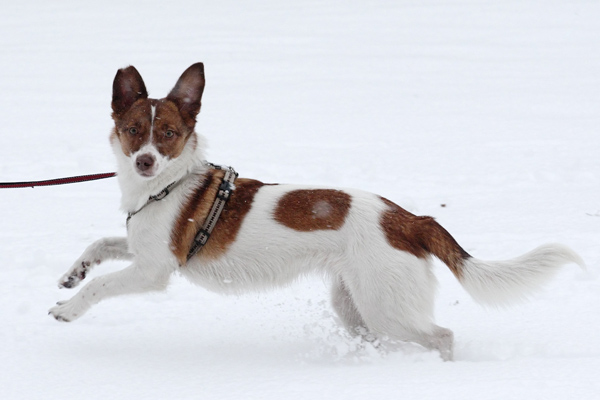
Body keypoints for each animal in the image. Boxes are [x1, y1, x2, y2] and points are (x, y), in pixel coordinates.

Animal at [49, 61, 584, 360]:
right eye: (134, 130)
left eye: (168, 135)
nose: (144, 162)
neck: (167, 184)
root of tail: (409, 220)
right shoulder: (139, 250)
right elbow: (101, 245)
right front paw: (73, 274)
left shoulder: (154, 270)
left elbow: (102, 287)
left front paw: (69, 309)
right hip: (355, 304)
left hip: (384, 305)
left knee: (443, 337)